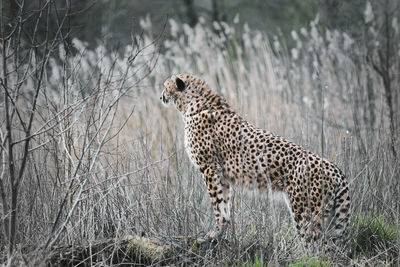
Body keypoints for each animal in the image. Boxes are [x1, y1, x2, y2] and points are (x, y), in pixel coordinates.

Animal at [159, 74, 350, 247]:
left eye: (165, 86)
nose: (160, 96)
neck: (193, 105)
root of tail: (335, 169)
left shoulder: (209, 168)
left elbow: (217, 205)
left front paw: (213, 234)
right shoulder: (222, 175)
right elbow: (225, 205)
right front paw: (220, 233)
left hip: (306, 213)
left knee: (314, 248)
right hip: (333, 219)